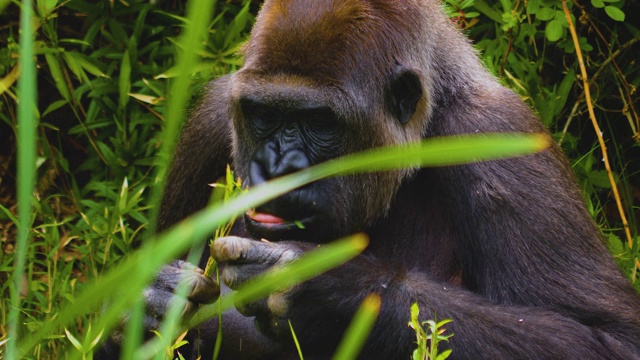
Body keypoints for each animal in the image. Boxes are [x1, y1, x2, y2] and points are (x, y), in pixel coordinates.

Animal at [126, 0, 640, 358]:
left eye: (319, 122)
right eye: (264, 115)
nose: (275, 167)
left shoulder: (498, 133)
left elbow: (607, 337)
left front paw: (326, 292)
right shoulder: (213, 120)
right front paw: (151, 303)